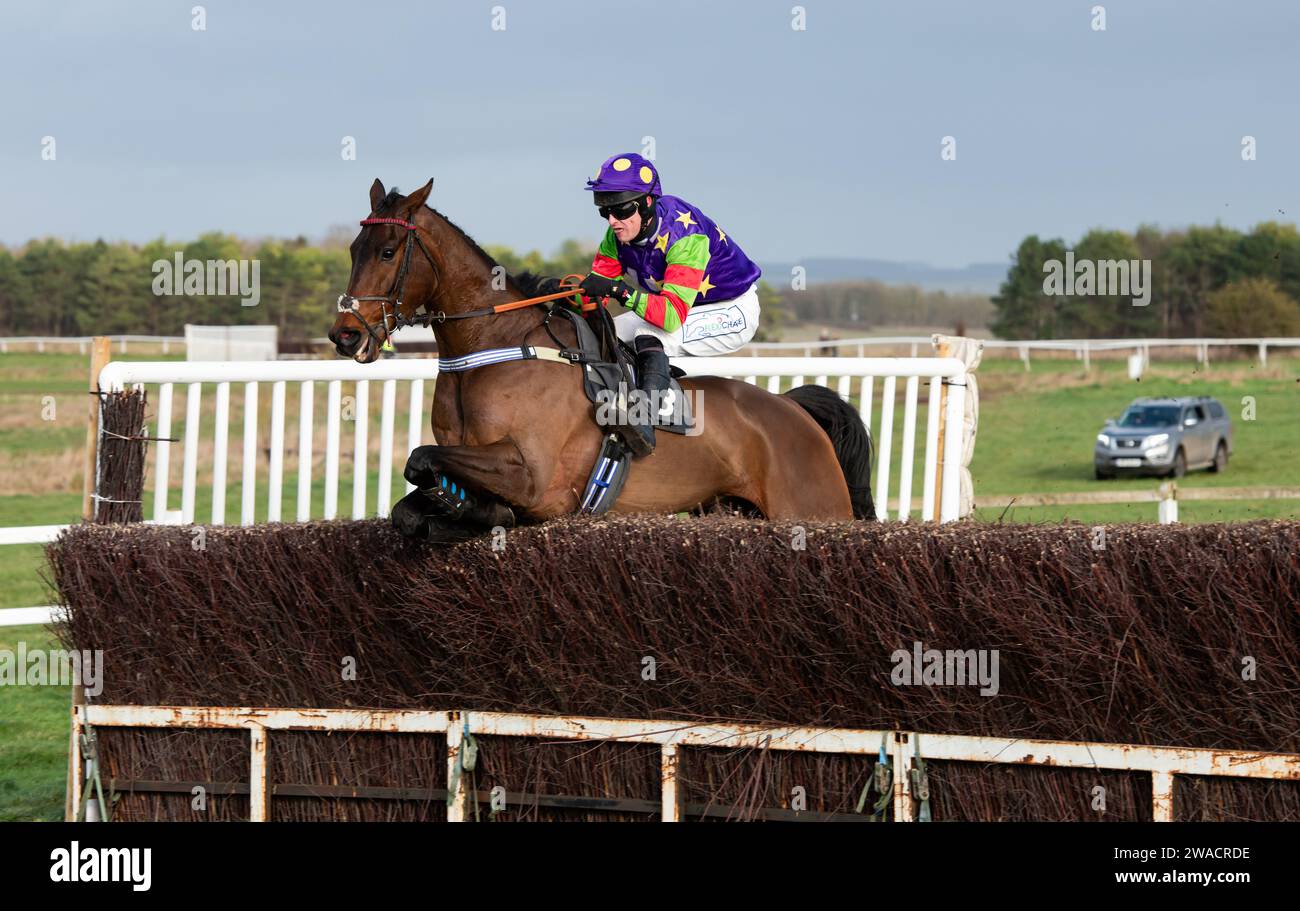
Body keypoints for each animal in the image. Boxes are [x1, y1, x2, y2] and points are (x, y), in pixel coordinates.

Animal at [327, 175, 873, 535]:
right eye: (354, 249)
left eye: (388, 251)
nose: (345, 335)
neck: (495, 345)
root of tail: (795, 410)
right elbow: (410, 502)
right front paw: (460, 507)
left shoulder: (535, 476)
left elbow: (420, 458)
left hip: (813, 502)